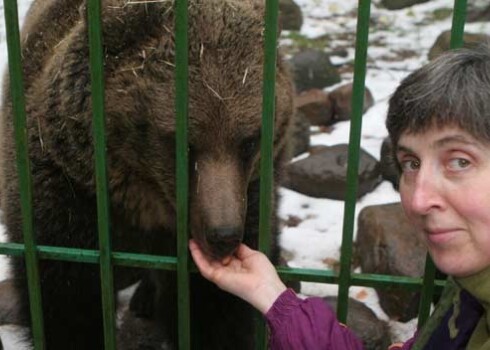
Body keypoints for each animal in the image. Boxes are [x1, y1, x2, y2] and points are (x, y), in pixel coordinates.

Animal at [0, 0, 292, 348]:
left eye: (249, 141)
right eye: (183, 144)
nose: (223, 235)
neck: (144, 198)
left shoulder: (249, 192)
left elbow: (215, 311)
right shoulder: (64, 192)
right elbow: (69, 302)